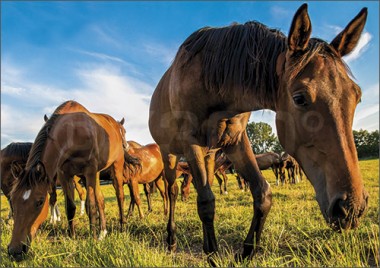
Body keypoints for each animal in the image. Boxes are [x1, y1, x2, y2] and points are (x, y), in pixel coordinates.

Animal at [7, 100, 132, 260]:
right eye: (12, 200)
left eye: (40, 202)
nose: (15, 250)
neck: (72, 132)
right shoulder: (64, 174)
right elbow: (71, 207)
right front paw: (72, 236)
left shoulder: (89, 171)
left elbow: (91, 206)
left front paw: (92, 238)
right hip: (95, 174)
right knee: (101, 199)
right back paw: (103, 232)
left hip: (116, 166)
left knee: (119, 195)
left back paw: (122, 226)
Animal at [148, 4, 368, 264]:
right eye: (299, 98)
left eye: (357, 96)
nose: (351, 208)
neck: (210, 79)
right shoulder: (190, 143)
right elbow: (206, 202)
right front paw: (212, 255)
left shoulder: (235, 140)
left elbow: (262, 194)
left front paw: (245, 252)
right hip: (169, 154)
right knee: (172, 191)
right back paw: (171, 240)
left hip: (209, 154)